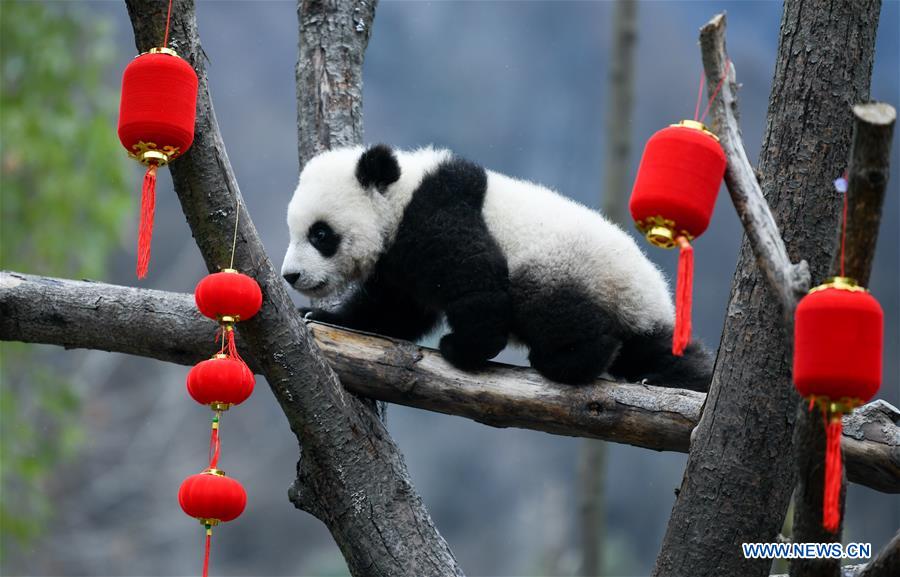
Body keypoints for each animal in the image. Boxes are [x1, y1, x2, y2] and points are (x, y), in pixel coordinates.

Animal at [281, 144, 711, 391]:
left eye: (320, 234)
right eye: (294, 230)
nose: (291, 276)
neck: (397, 197)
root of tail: (650, 293)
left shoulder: (437, 214)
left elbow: (477, 284)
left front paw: (462, 348)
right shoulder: (397, 265)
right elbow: (392, 311)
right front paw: (322, 316)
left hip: (567, 266)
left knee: (556, 311)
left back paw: (570, 359)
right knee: (652, 348)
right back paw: (679, 375)